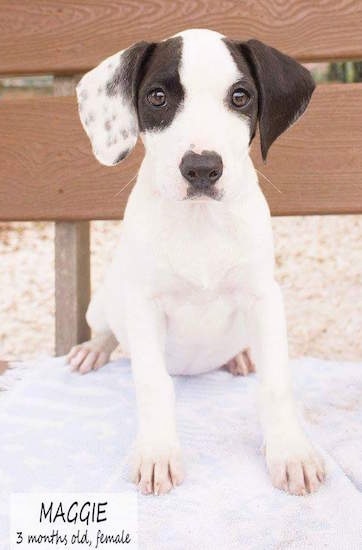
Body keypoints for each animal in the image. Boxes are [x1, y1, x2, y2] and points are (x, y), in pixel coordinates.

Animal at [68, 28, 326, 498]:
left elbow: (277, 383)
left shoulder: (264, 298)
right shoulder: (144, 305)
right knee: (106, 330)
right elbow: (153, 383)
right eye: (157, 97)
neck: (201, 222)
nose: (202, 168)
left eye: (240, 96)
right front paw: (157, 453)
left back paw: (240, 356)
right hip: (106, 299)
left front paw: (290, 452)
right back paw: (93, 350)